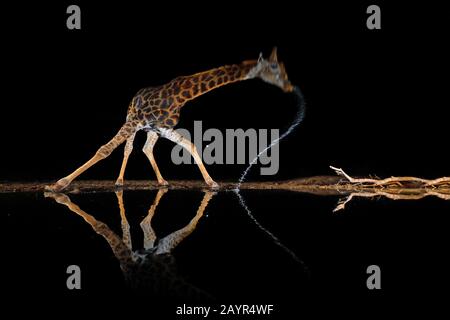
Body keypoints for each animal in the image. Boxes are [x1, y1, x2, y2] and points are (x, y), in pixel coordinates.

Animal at [44, 47, 292, 192]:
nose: (289, 87)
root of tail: (136, 95)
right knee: (127, 148)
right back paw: (119, 181)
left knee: (144, 148)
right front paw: (58, 184)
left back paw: (160, 182)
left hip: (149, 129)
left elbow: (190, 145)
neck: (182, 95)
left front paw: (212, 183)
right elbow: (105, 149)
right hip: (131, 119)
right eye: (273, 67)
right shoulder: (139, 122)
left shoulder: (162, 128)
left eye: (282, 67)